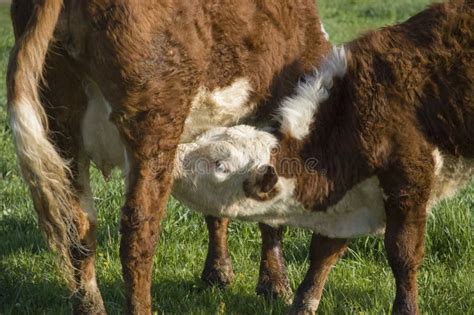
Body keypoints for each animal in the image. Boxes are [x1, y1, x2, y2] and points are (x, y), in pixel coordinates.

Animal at [7, 0, 332, 314]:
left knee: (78, 227)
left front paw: (218, 272)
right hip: (153, 125)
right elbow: (270, 215)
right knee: (138, 234)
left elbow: (216, 206)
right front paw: (274, 284)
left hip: (60, 130)